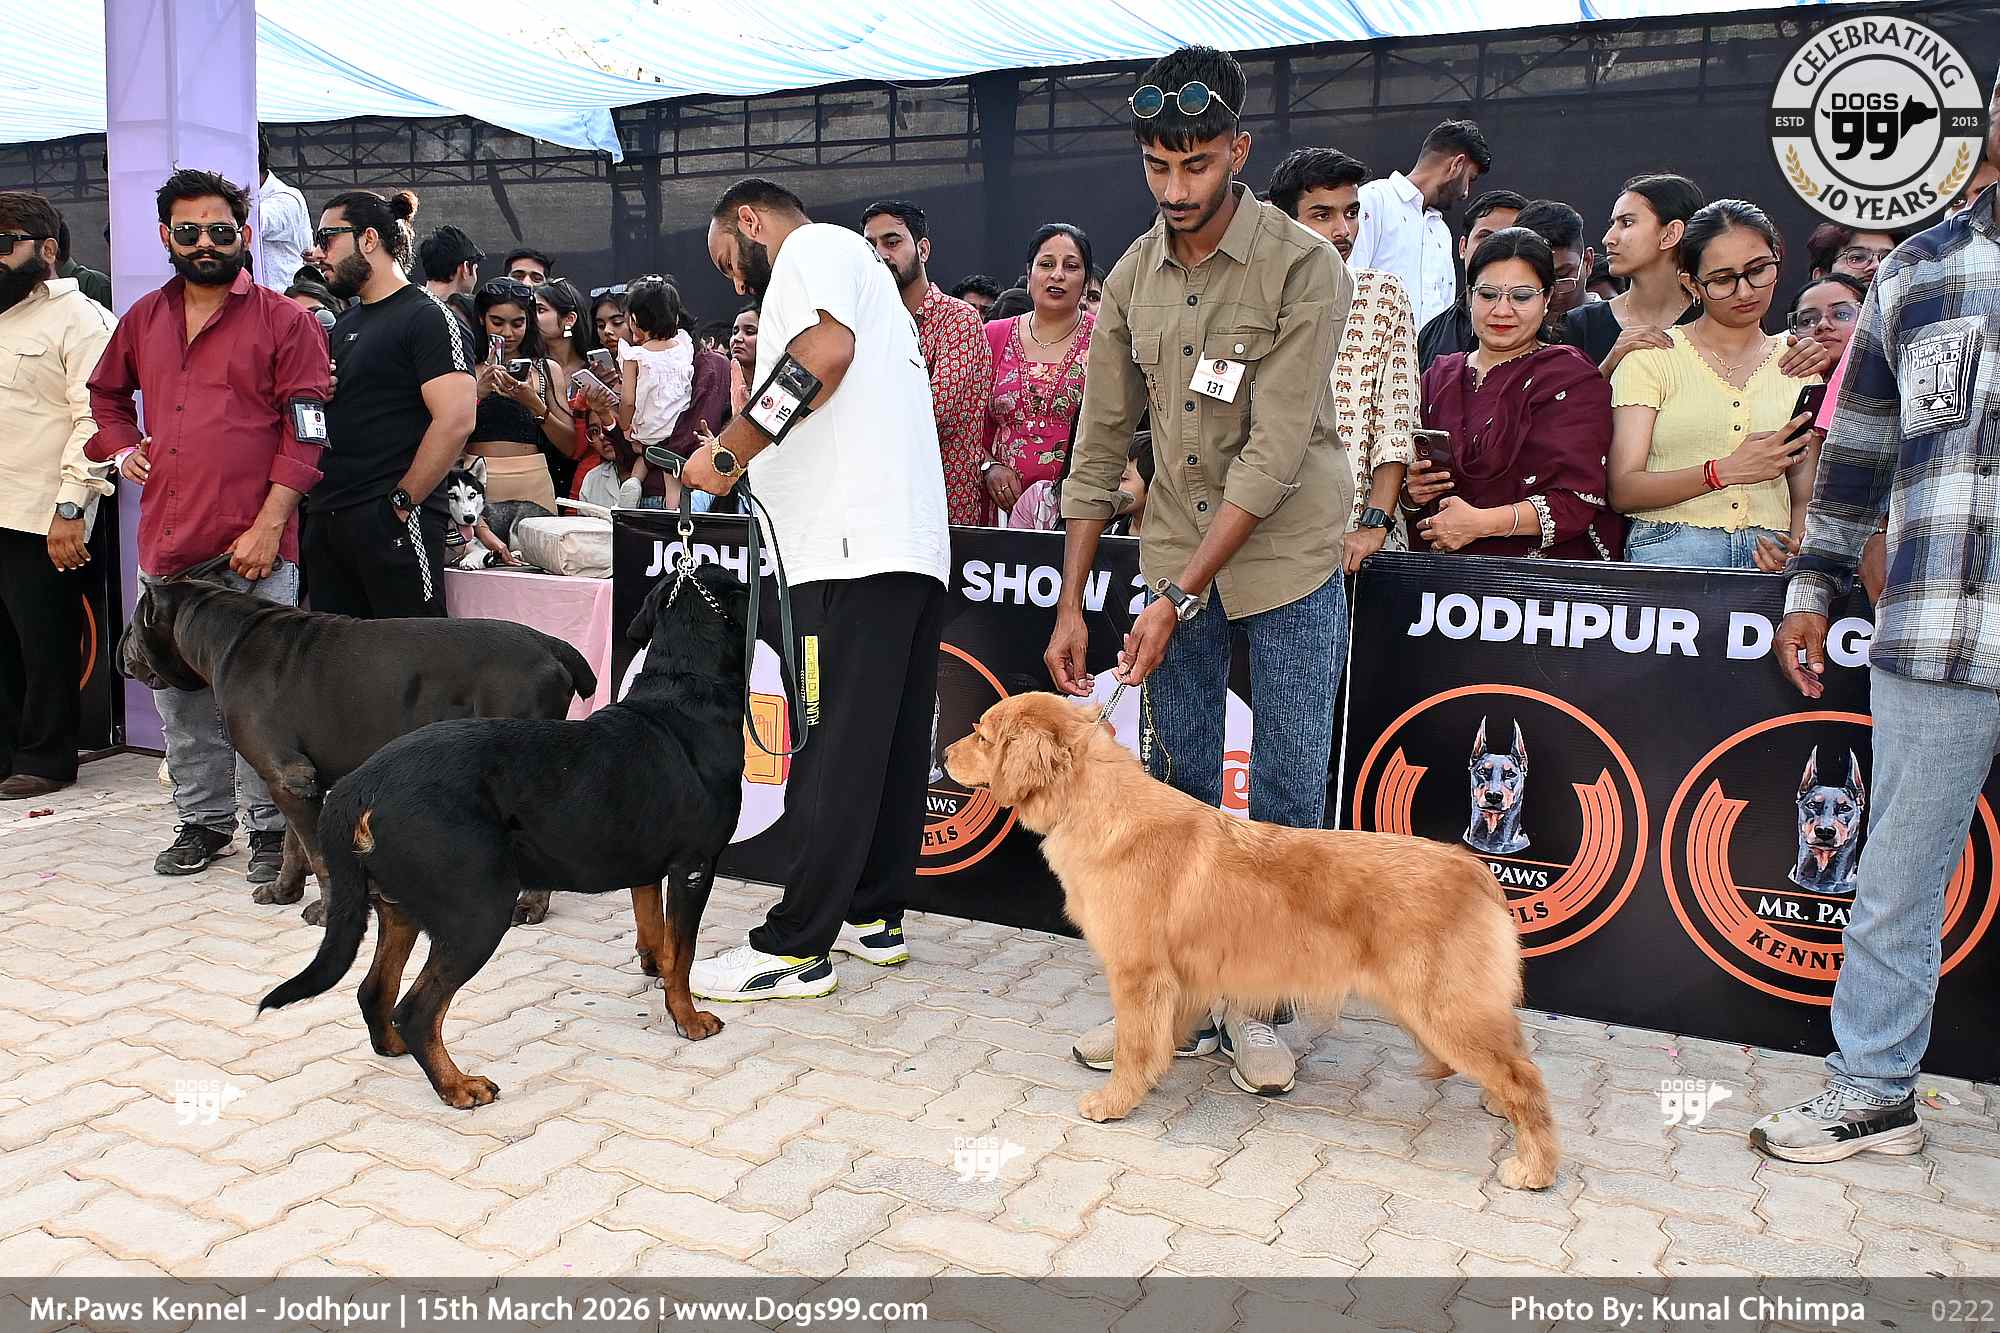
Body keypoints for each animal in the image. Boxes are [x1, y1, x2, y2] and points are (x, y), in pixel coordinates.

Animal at [120, 572, 594, 926]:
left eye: (130, 627)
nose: (122, 657)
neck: (225, 637)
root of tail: (554, 645)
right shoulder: (291, 778)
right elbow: (293, 845)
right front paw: (284, 890)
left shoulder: (288, 775)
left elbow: (318, 855)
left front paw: (325, 912)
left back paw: (530, 905)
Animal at [260, 560, 748, 1108]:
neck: (683, 693)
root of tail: (360, 784)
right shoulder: (694, 865)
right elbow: (683, 951)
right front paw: (688, 1018)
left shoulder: (646, 859)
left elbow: (655, 928)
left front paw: (653, 966)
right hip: (478, 907)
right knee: (418, 1008)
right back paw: (458, 1085)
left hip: (400, 904)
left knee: (375, 991)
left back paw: (396, 1047)